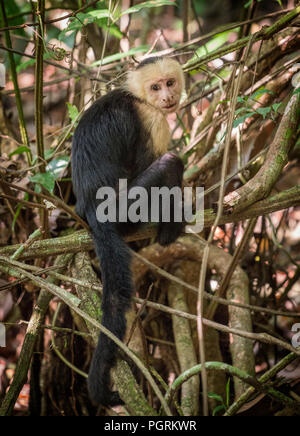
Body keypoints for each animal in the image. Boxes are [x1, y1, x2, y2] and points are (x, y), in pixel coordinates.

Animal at [72, 56, 185, 408]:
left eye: (169, 82)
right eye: (155, 87)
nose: (167, 96)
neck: (139, 97)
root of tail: (96, 214)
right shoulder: (151, 119)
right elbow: (148, 161)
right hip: (126, 210)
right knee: (169, 163)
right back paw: (169, 227)